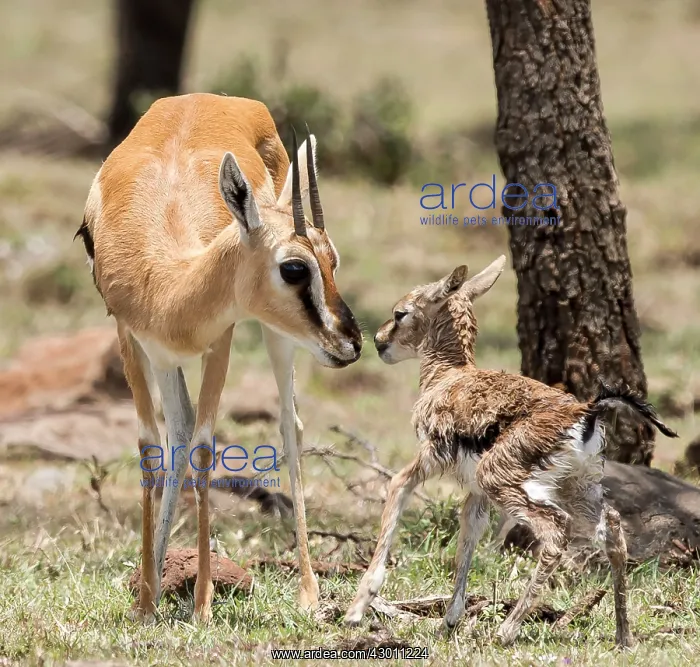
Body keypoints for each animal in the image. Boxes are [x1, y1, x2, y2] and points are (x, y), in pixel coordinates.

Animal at [76, 93, 363, 622]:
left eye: (333, 261)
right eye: (295, 268)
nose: (352, 342)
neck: (165, 283)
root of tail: (218, 98)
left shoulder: (221, 338)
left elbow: (207, 447)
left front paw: (203, 604)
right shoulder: (131, 336)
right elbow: (153, 445)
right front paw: (145, 602)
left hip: (277, 335)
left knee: (289, 424)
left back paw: (308, 592)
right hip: (168, 358)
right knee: (180, 425)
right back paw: (156, 578)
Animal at [344, 255, 677, 647]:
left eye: (401, 312)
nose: (379, 341)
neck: (448, 377)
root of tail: (586, 410)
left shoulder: (428, 460)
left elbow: (395, 490)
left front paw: (356, 609)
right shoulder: (475, 491)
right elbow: (468, 536)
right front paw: (448, 622)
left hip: (506, 481)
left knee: (555, 532)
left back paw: (506, 630)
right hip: (576, 487)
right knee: (611, 529)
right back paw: (623, 636)